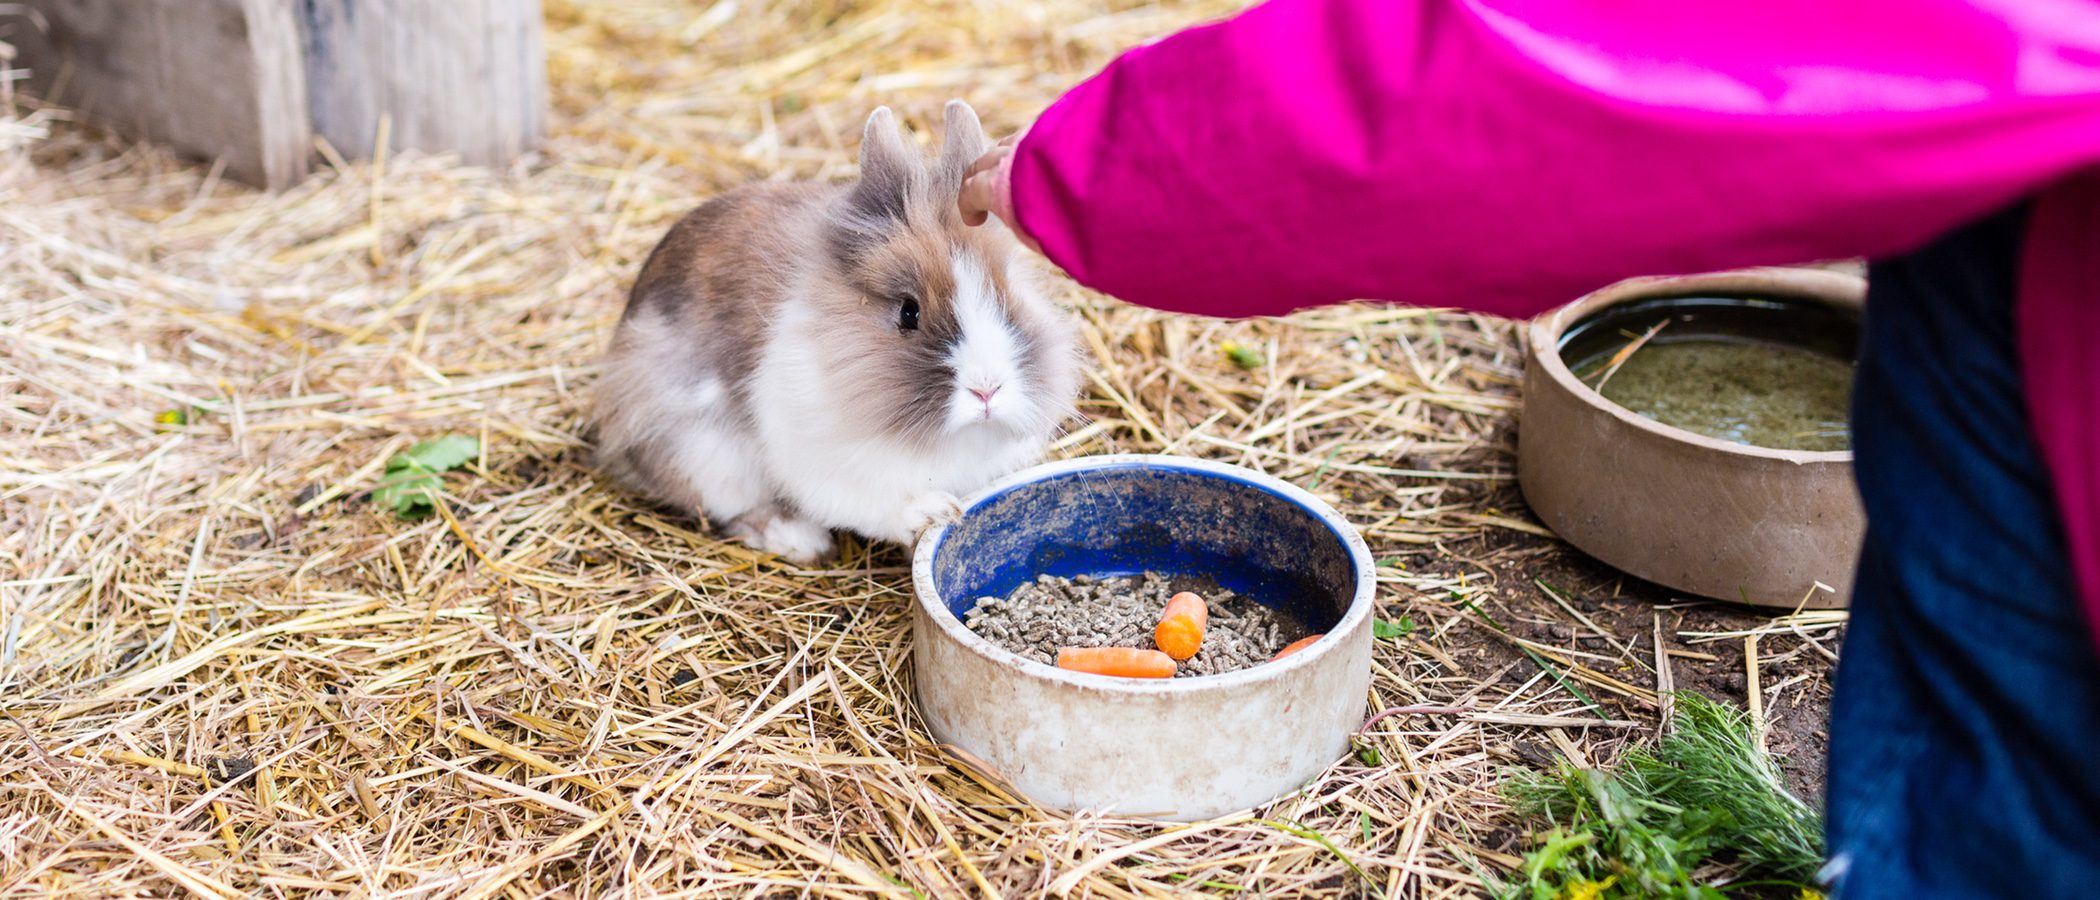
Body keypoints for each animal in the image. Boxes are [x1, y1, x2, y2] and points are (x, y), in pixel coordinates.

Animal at [592, 100, 1083, 562]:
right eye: (908, 313)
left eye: (1008, 293)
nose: (986, 389)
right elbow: (879, 507)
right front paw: (933, 512)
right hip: (704, 456)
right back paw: (799, 540)